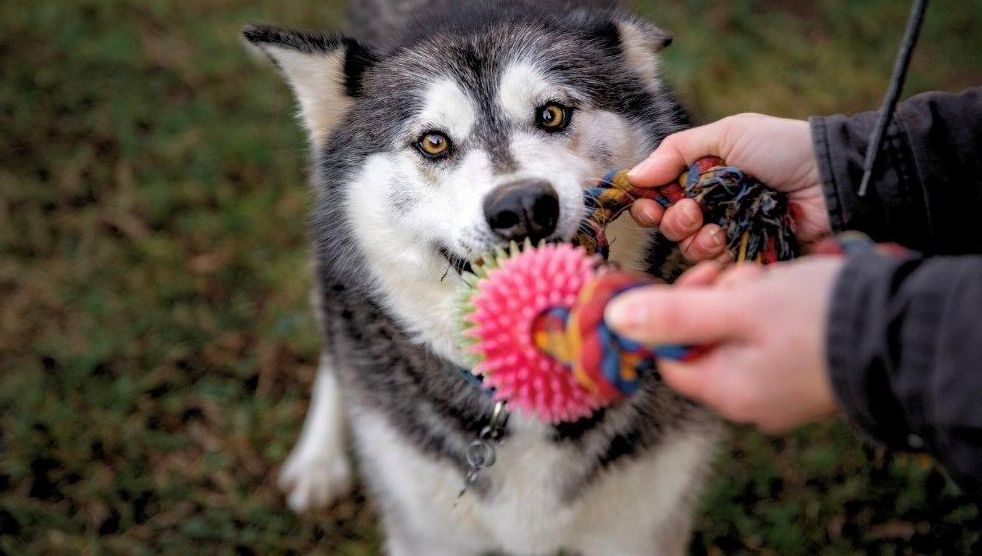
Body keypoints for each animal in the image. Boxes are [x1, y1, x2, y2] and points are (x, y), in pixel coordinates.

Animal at [245, 1, 720, 553]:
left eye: (552, 114)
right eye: (433, 142)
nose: (523, 206)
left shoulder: (641, 528)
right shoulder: (427, 531)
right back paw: (318, 460)